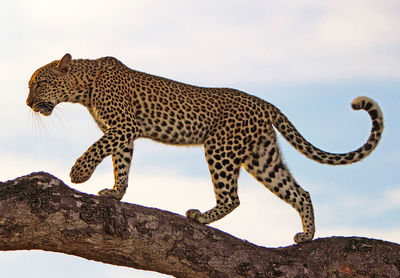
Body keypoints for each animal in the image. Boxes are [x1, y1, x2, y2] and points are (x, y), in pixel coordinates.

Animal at [26, 53, 382, 243]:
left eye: (38, 83)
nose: (28, 103)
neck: (83, 88)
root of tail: (265, 103)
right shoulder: (122, 134)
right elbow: (120, 164)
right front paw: (116, 192)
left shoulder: (124, 126)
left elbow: (97, 148)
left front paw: (79, 173)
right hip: (262, 157)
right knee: (300, 192)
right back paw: (306, 236)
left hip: (220, 148)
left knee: (232, 197)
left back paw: (200, 217)